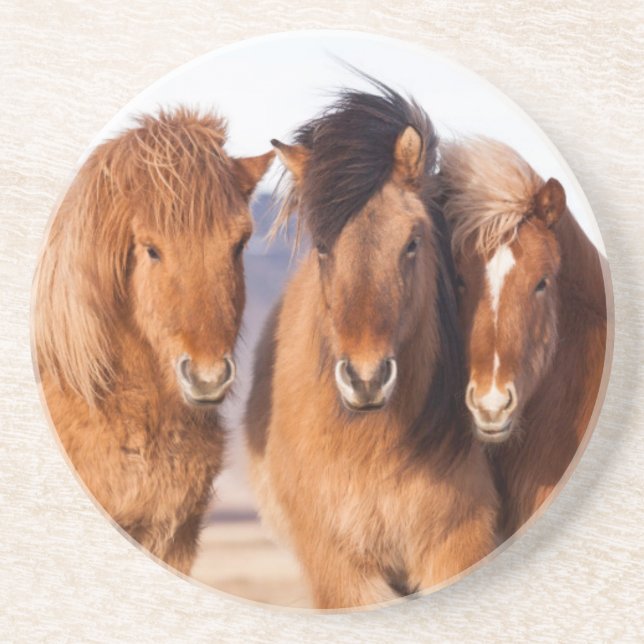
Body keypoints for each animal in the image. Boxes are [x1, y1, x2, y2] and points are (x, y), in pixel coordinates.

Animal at [245, 82, 499, 609]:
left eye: (413, 243)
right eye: (322, 246)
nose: (365, 379)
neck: (373, 451)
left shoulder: (459, 545)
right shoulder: (340, 568)